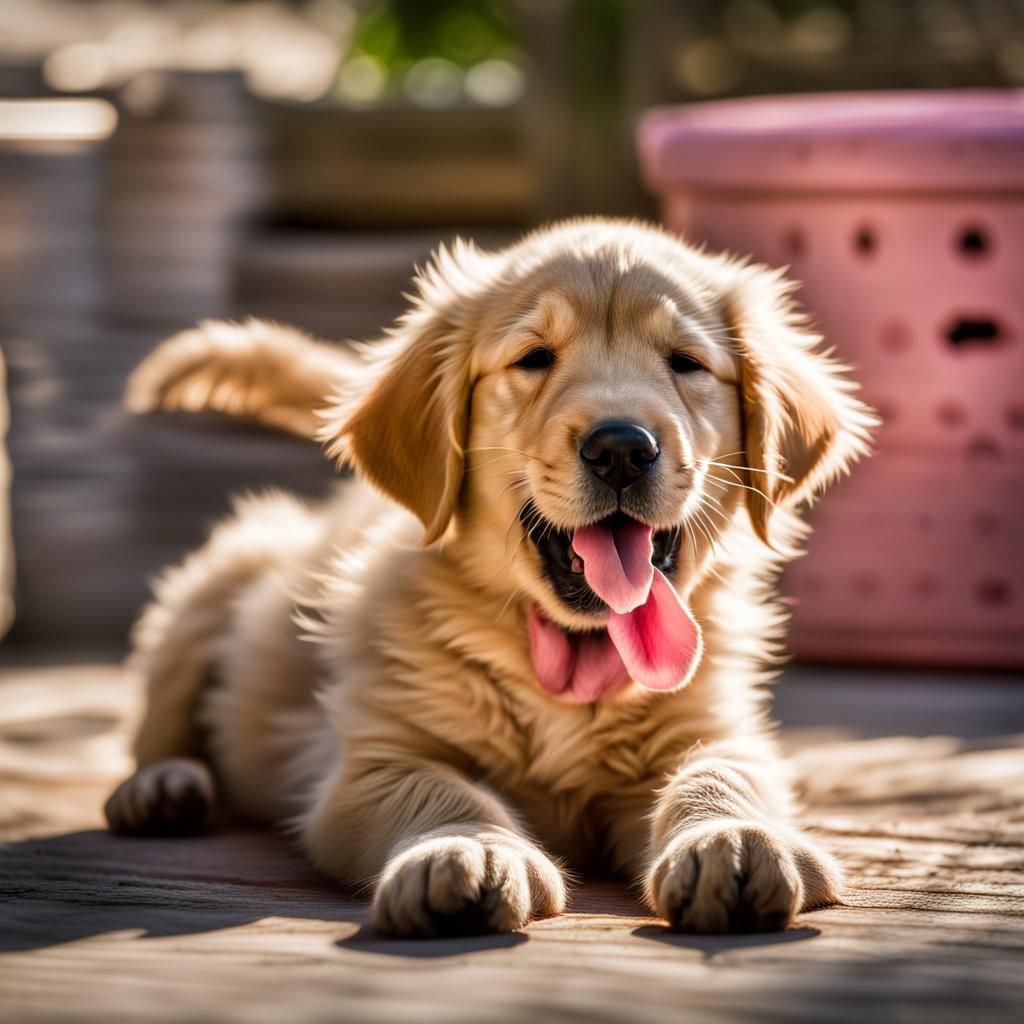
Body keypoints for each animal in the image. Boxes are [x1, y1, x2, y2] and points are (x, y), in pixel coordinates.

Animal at [105, 218, 872, 937]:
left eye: (685, 364)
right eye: (534, 359)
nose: (622, 448)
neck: (570, 661)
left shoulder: (714, 726)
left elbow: (721, 770)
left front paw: (733, 837)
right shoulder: (370, 762)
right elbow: (442, 789)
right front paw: (469, 848)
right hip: (217, 579)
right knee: (154, 727)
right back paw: (159, 787)